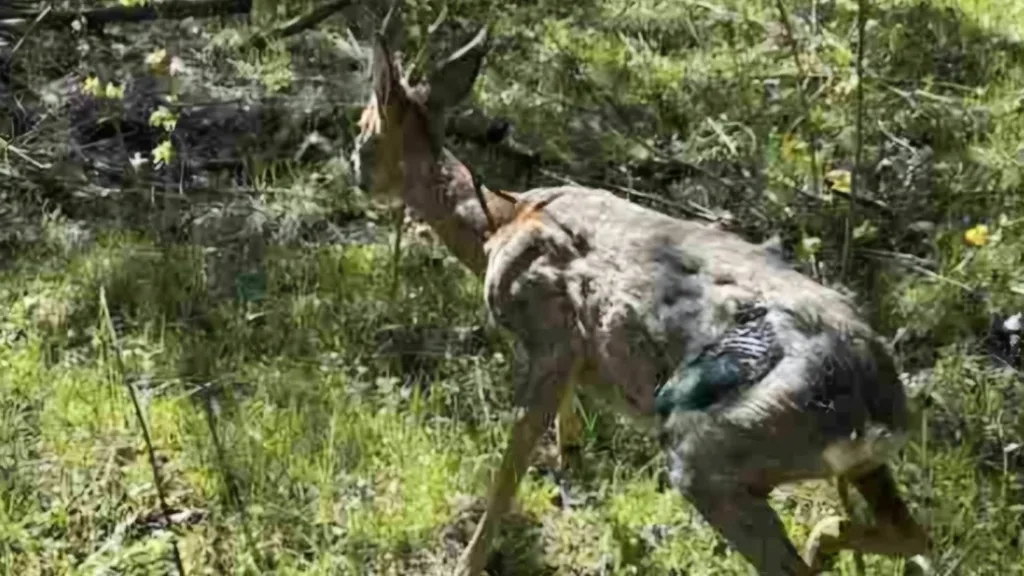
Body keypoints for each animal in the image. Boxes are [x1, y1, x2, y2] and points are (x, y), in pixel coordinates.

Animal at [351, 10, 932, 576]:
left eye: (363, 130)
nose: (356, 174)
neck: (500, 222)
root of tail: (877, 412)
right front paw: (571, 462)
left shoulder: (550, 334)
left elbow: (511, 462)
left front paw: (468, 561)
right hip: (850, 465)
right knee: (911, 533)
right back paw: (827, 539)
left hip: (713, 448)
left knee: (795, 563)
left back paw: (818, 544)